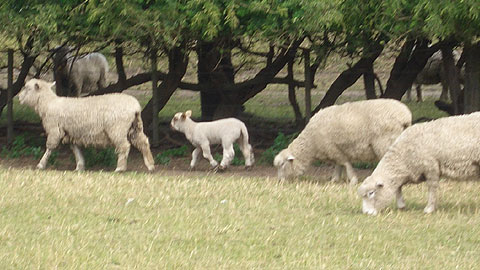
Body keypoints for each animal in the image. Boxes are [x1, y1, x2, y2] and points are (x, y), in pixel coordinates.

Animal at [17, 78, 154, 172]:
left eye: (27, 88)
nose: (18, 97)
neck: (48, 104)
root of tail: (135, 106)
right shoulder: (71, 132)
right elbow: (75, 148)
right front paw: (80, 166)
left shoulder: (55, 130)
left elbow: (50, 148)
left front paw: (41, 164)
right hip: (134, 128)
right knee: (143, 142)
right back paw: (150, 165)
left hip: (117, 129)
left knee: (124, 146)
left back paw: (120, 168)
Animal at [274, 98, 412, 185]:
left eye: (282, 164)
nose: (279, 181)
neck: (311, 143)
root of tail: (405, 115)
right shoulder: (334, 151)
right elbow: (338, 166)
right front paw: (335, 180)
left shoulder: (334, 149)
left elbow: (345, 164)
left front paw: (353, 180)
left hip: (385, 142)